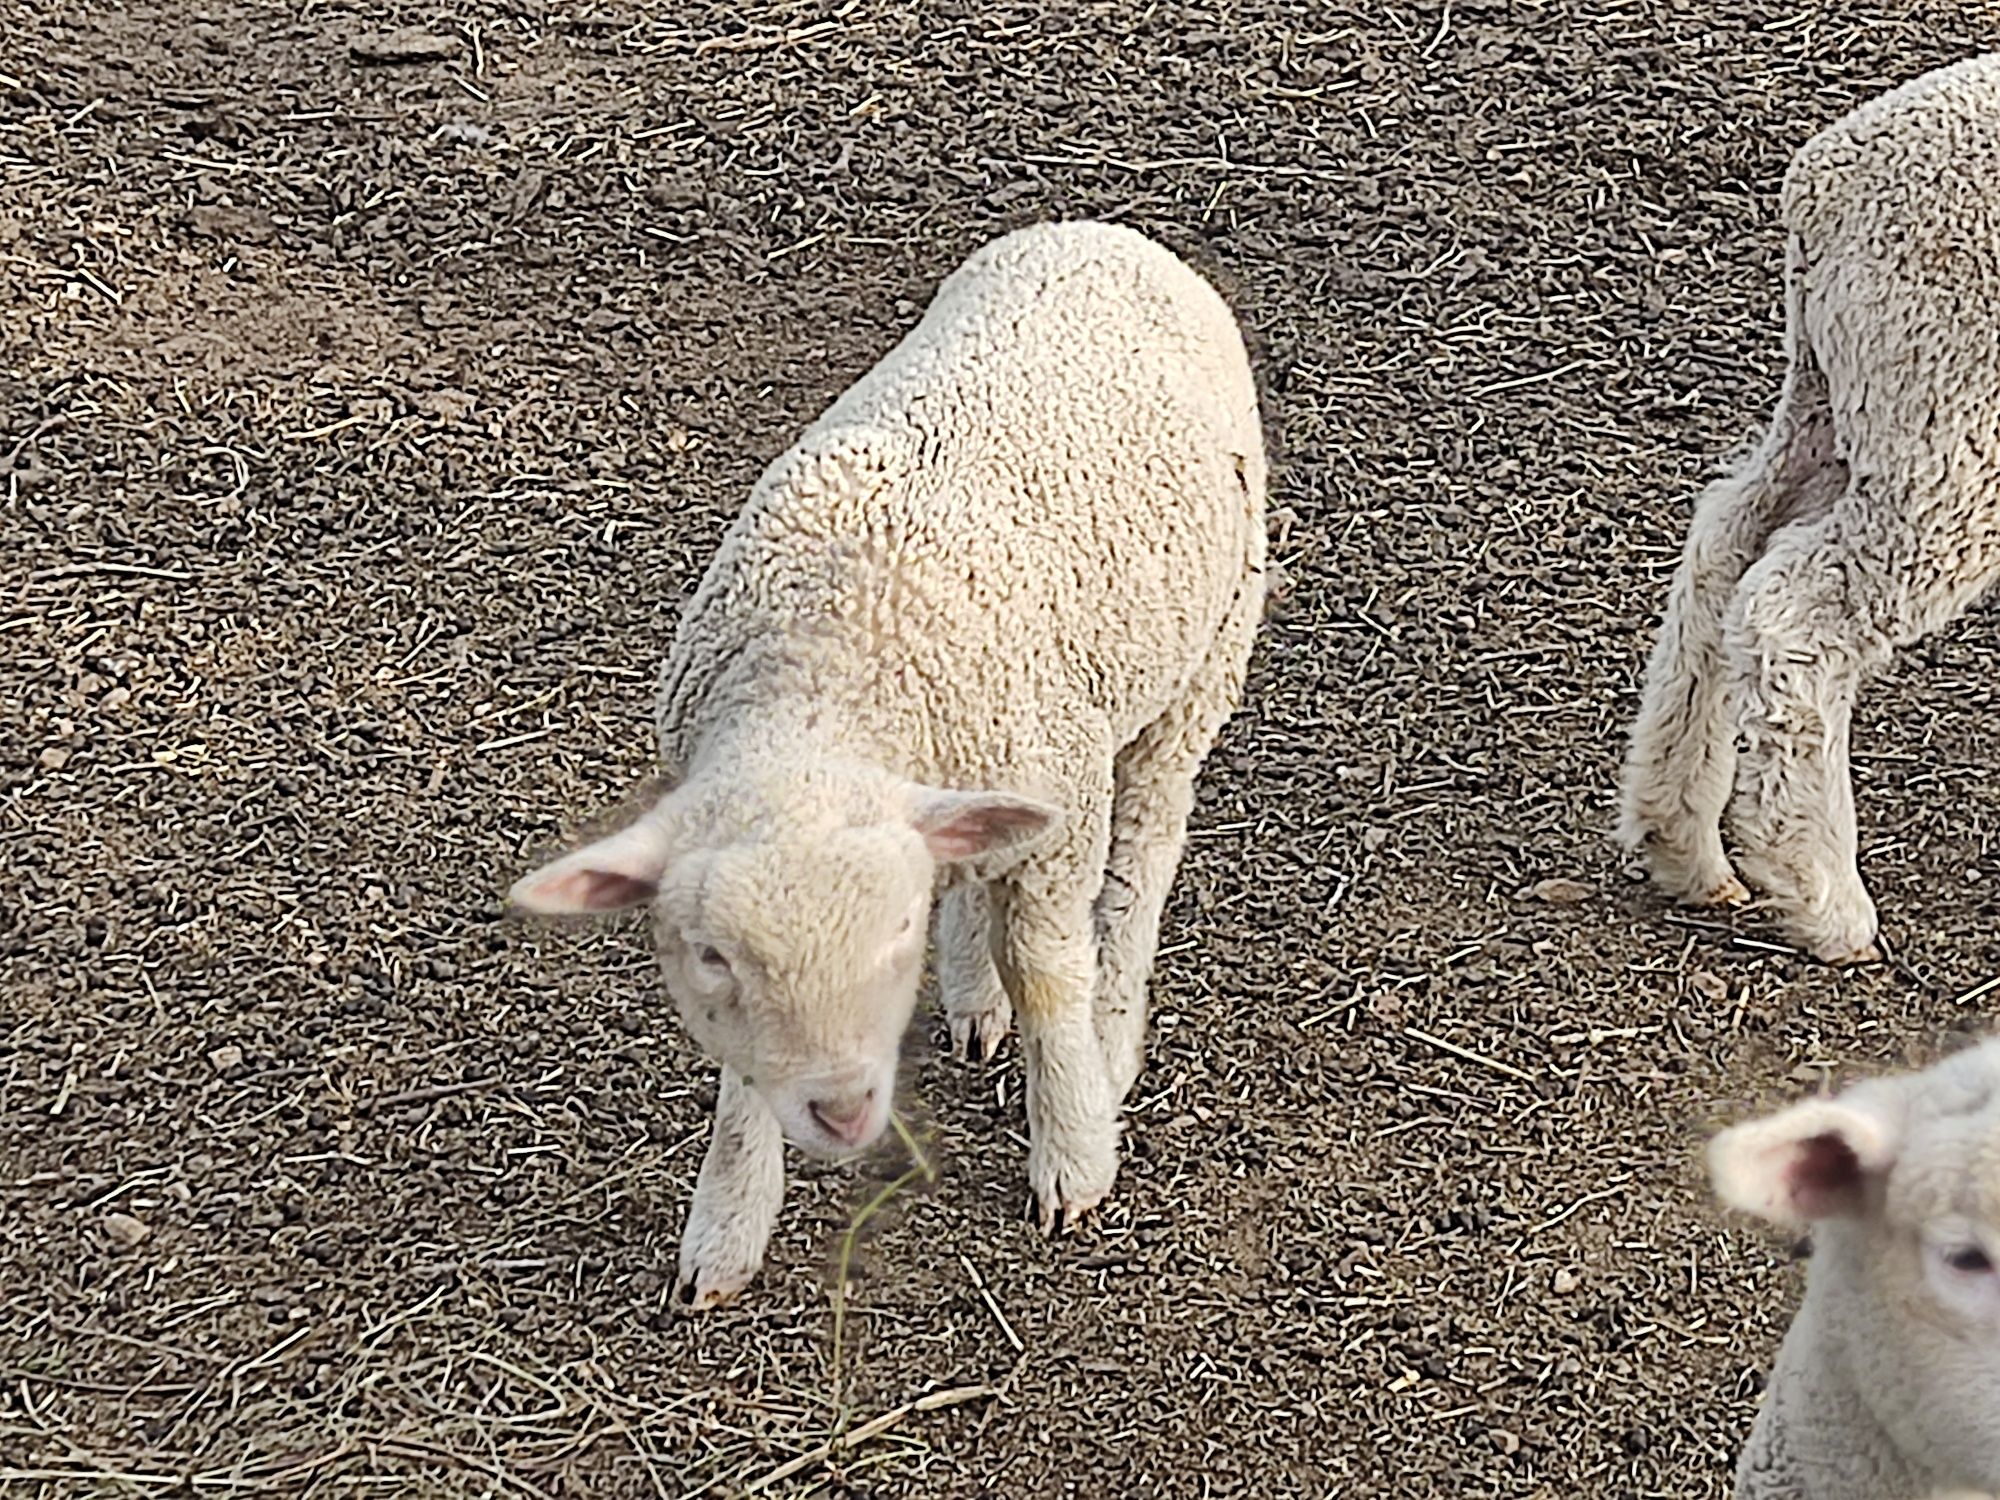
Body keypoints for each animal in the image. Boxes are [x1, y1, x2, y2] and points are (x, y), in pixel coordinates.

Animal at [508, 217, 1256, 1312]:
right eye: (714, 957)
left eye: (894, 931)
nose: (844, 1108)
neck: (830, 677)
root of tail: (1093, 231)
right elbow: (744, 1077)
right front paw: (726, 1225)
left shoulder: (1062, 807)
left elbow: (1048, 971)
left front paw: (1073, 1150)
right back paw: (975, 998)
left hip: (1203, 659)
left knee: (1145, 849)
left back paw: (1111, 1032)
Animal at [1616, 55, 2000, 964]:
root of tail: (1825, 187)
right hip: (1947, 425)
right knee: (1795, 609)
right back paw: (1823, 894)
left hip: (1839, 396)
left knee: (1727, 540)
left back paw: (1681, 838)